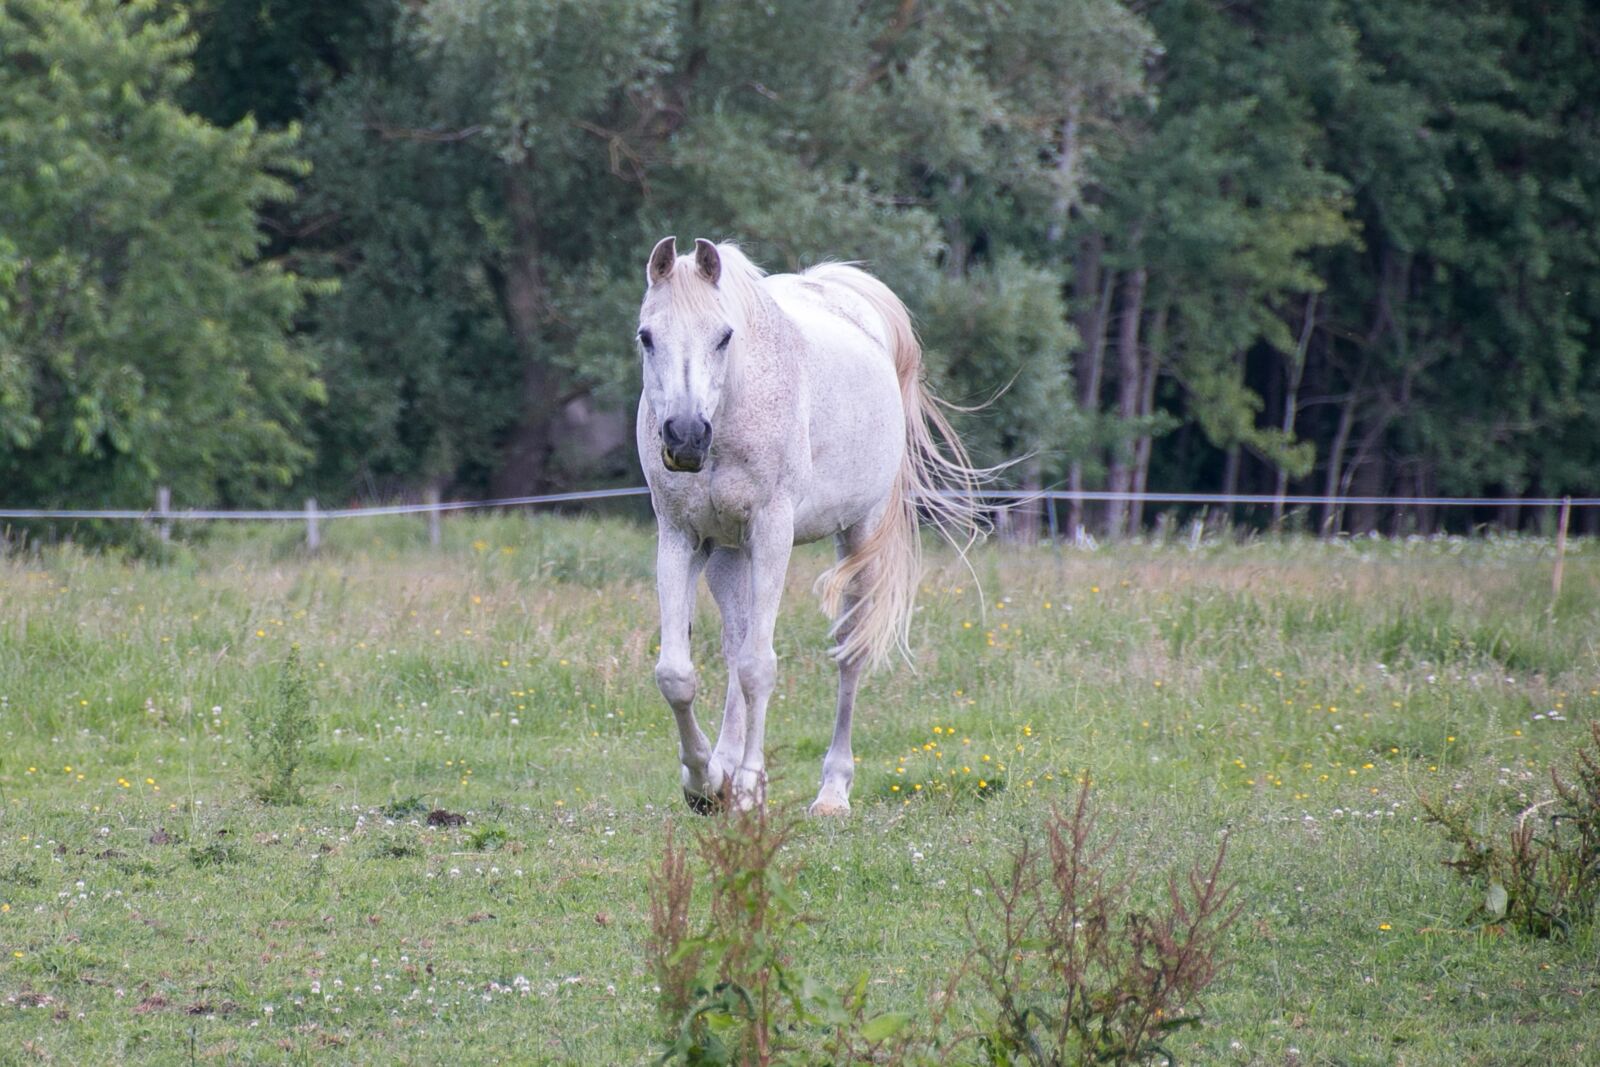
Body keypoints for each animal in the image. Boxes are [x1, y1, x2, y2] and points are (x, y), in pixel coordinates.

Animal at [636, 236, 984, 815]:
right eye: (647, 337)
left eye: (724, 336)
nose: (684, 437)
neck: (733, 411)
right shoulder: (681, 536)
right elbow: (677, 674)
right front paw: (704, 783)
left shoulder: (773, 533)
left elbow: (759, 668)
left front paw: (748, 788)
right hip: (729, 553)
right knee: (736, 642)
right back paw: (725, 768)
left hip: (857, 539)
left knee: (848, 652)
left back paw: (832, 792)